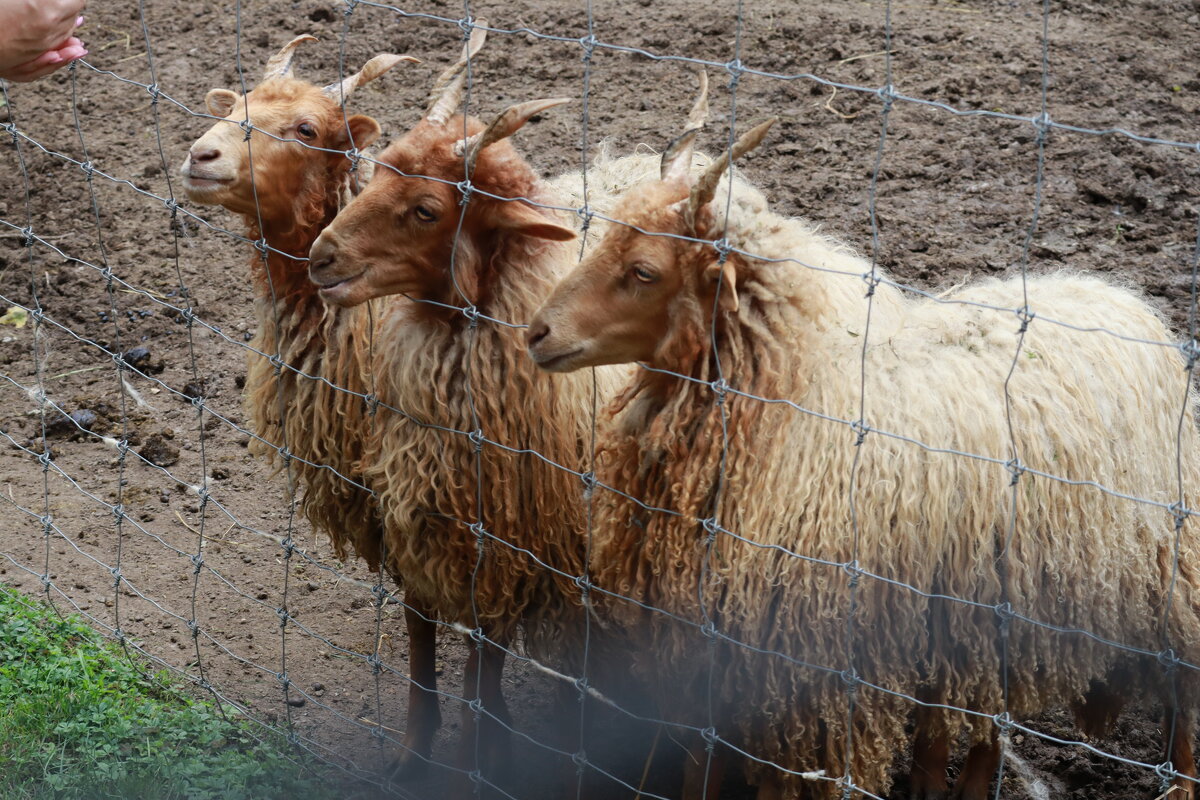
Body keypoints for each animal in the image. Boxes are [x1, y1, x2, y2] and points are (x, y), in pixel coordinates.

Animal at [530, 113, 1200, 800]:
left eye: (644, 271)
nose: (536, 332)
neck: (785, 404)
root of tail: (1113, 296)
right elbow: (701, 757)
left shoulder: (804, 660)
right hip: (998, 594)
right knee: (985, 710)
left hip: (1163, 563)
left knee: (1182, 678)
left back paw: (1180, 780)